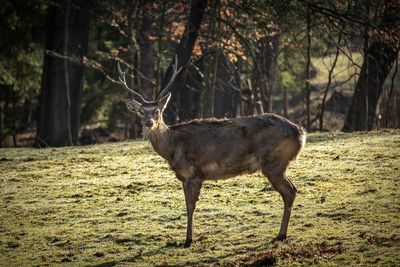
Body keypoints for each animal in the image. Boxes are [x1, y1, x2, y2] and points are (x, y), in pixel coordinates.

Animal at [118, 57, 306, 249]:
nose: (149, 123)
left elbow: (190, 207)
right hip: (278, 164)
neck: (174, 148)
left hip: (274, 162)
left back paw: (281, 235)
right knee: (291, 190)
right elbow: (186, 204)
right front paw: (187, 238)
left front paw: (188, 240)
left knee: (290, 191)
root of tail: (300, 133)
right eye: (141, 112)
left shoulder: (194, 174)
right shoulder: (183, 177)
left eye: (157, 111)